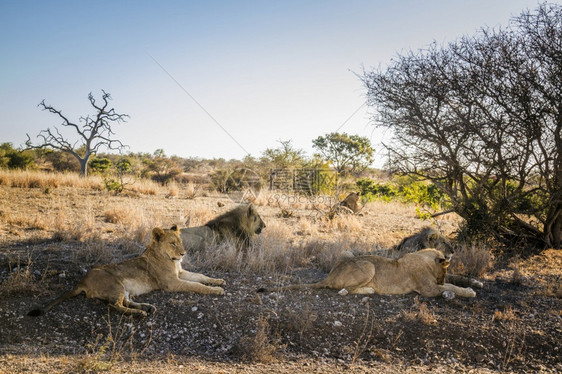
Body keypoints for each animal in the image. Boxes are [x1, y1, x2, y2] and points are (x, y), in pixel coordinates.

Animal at [26, 225, 223, 318]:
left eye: (180, 242)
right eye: (172, 243)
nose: (183, 253)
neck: (171, 260)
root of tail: (82, 280)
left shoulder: (180, 273)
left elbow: (200, 276)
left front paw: (219, 281)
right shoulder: (172, 283)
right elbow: (197, 285)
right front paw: (217, 290)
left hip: (124, 288)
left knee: (126, 301)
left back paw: (147, 307)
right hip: (115, 285)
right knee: (114, 306)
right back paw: (140, 314)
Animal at [282, 248, 474, 298]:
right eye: (446, 268)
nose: (441, 281)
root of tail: (331, 275)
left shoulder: (433, 286)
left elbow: (451, 285)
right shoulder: (428, 290)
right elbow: (453, 287)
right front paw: (470, 292)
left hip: (347, 253)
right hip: (369, 266)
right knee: (345, 291)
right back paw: (370, 290)